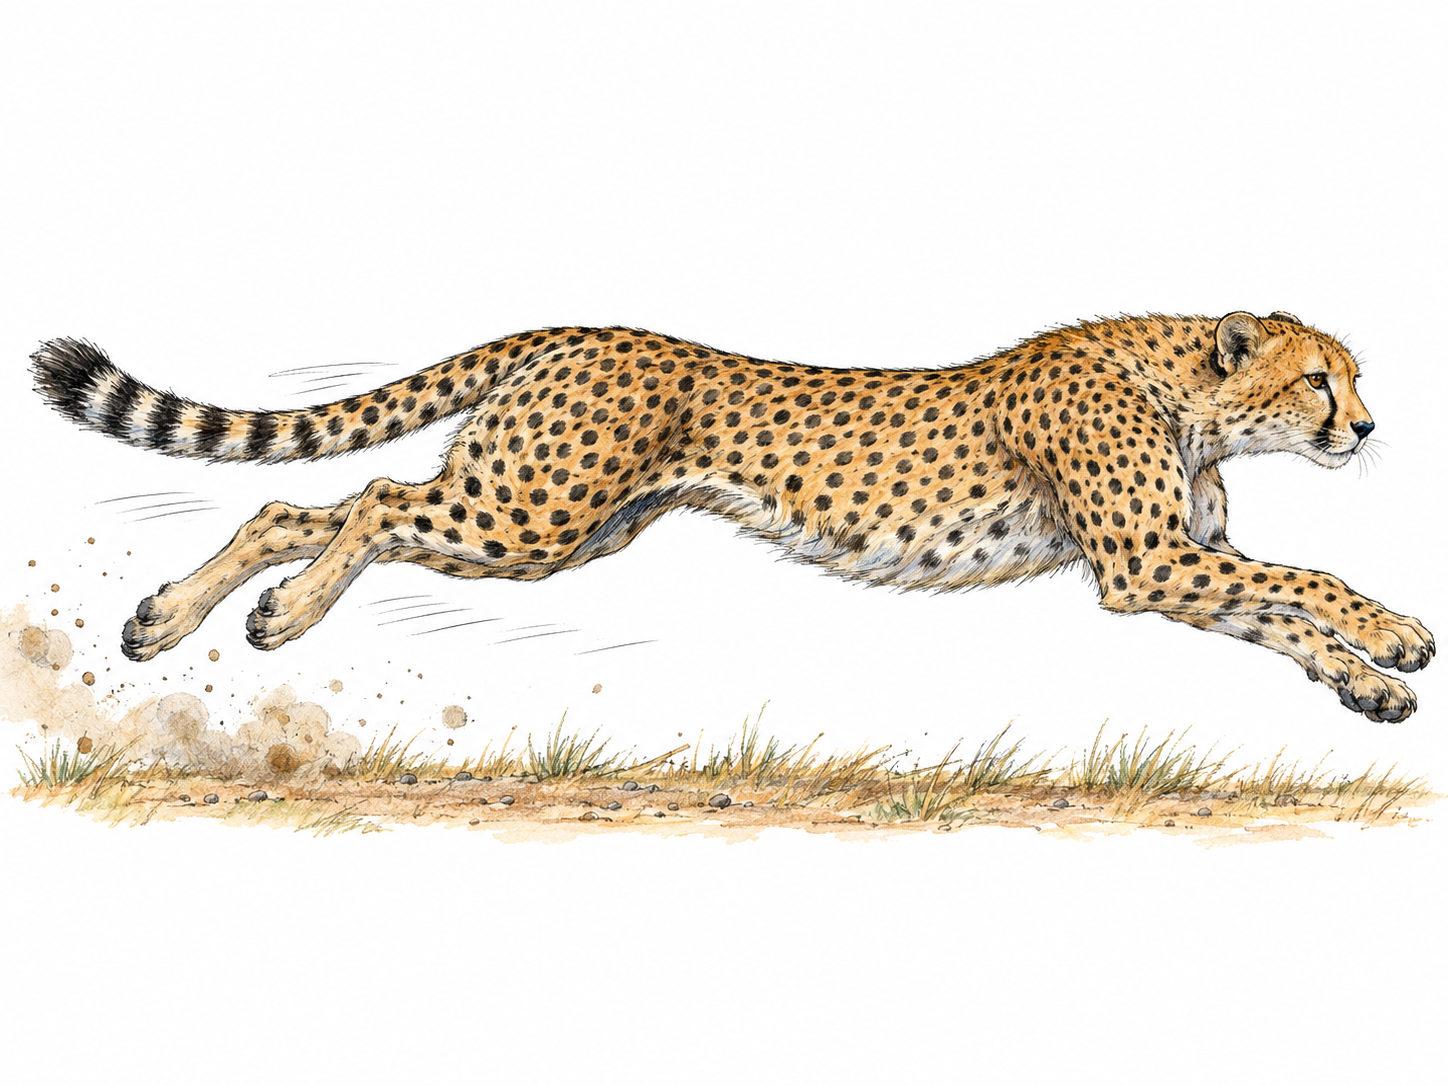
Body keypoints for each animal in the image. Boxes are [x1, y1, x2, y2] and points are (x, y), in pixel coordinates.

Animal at [31, 310, 1434, 720]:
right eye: (1321, 381)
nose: (1366, 430)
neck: (1188, 391)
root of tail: (579, 327)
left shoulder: (1187, 561)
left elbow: (1281, 611)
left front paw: (1368, 687)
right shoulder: (1146, 563)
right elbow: (1309, 583)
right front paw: (1400, 638)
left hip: (554, 526)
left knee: (293, 502)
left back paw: (184, 621)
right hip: (525, 514)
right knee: (365, 500)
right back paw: (275, 616)